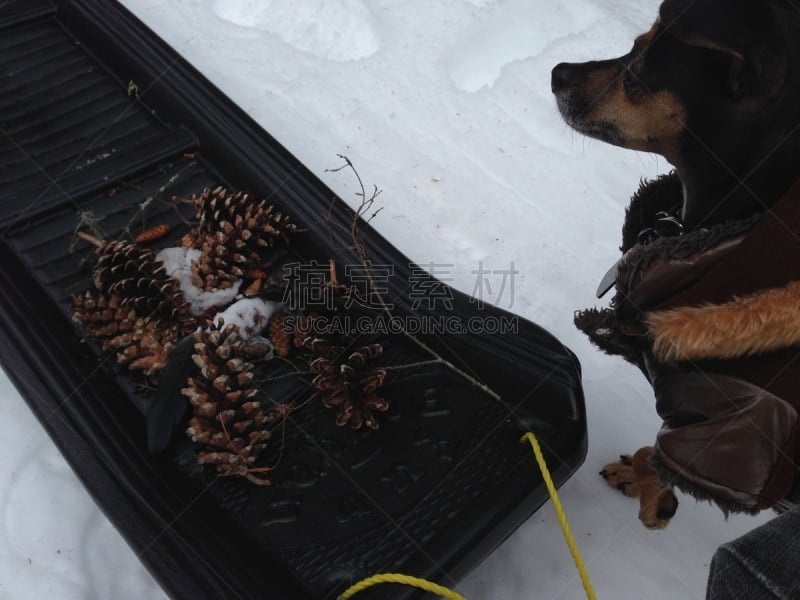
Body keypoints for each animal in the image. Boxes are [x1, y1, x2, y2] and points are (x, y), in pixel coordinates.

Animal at [552, 0, 800, 528]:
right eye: (636, 41)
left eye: (638, 73)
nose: (557, 72)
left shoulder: (732, 437)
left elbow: (663, 457)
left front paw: (648, 488)